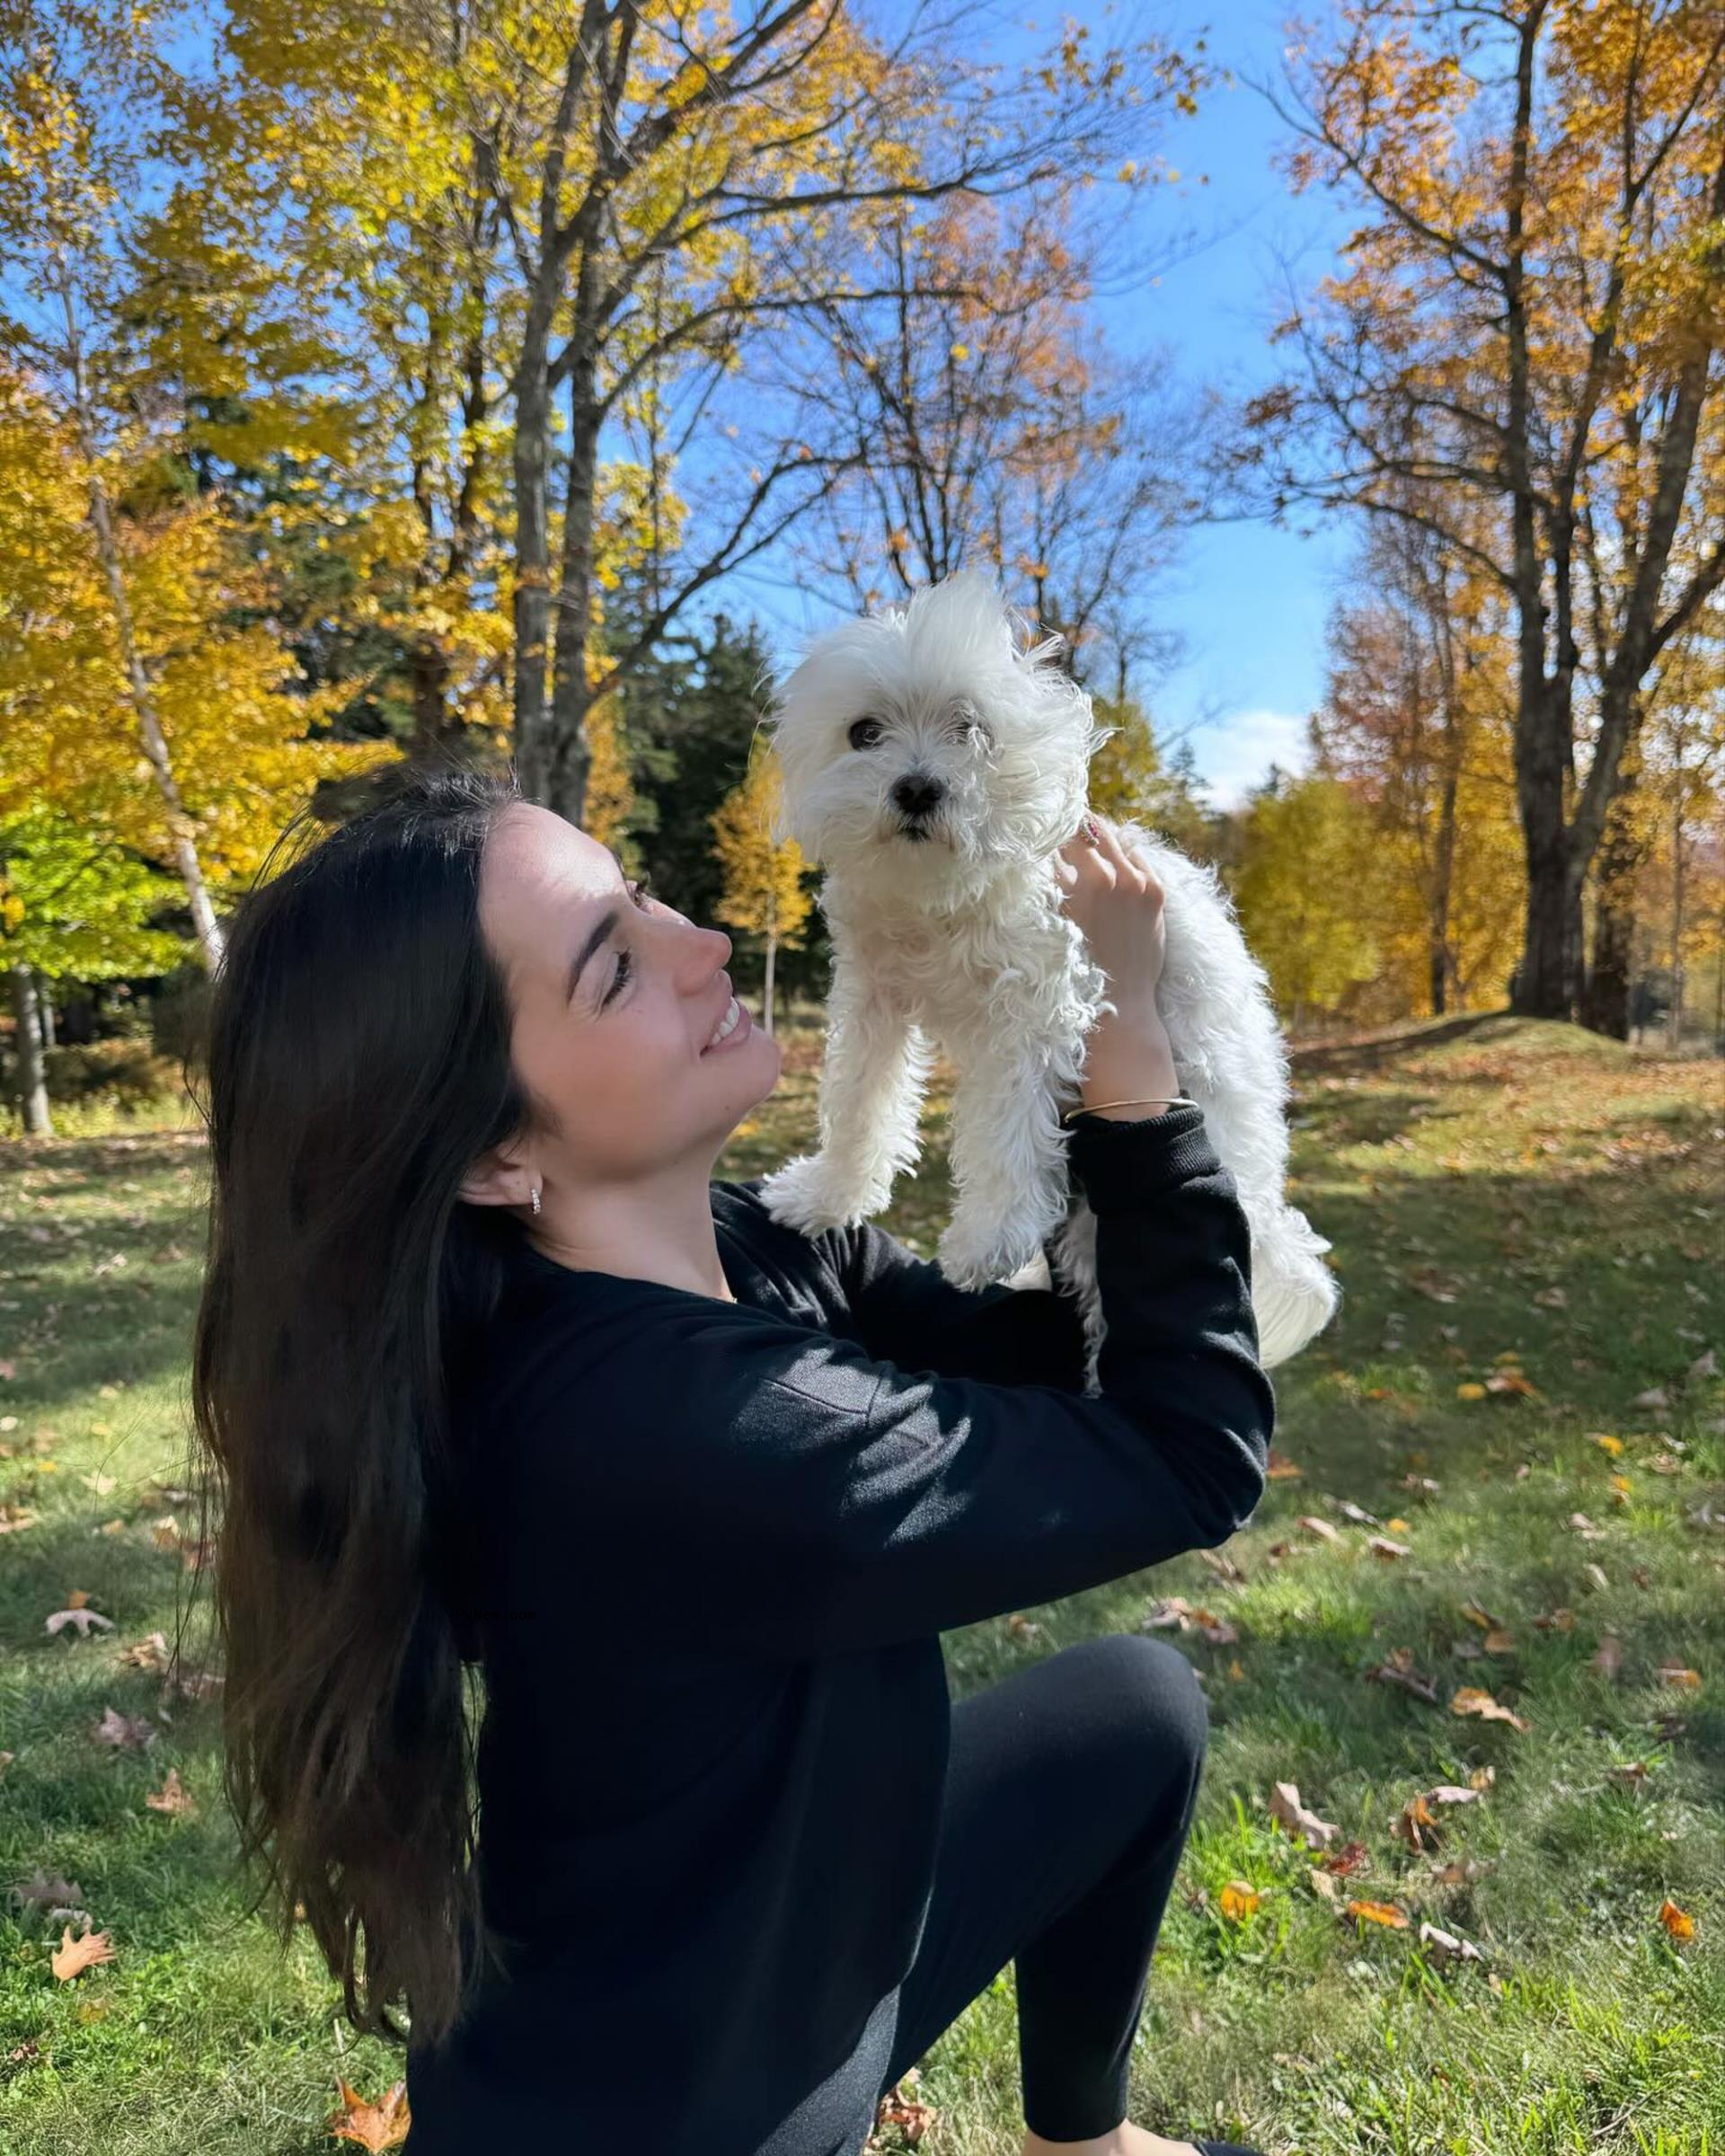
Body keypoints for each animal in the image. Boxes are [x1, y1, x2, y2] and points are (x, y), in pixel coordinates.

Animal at [755, 569, 1337, 1380]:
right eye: (864, 732)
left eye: (971, 728)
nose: (917, 788)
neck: (939, 899)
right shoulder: (873, 1001)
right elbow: (859, 1108)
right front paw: (824, 1196)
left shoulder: (1036, 1009)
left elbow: (1004, 1131)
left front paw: (987, 1239)